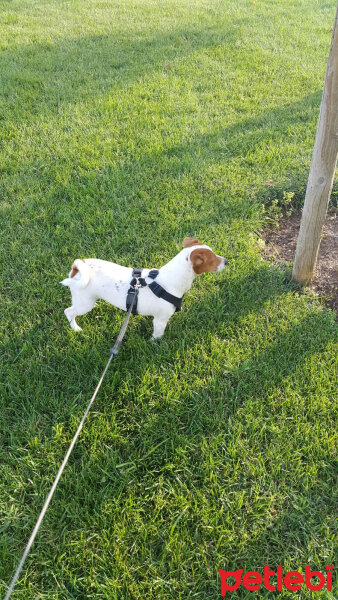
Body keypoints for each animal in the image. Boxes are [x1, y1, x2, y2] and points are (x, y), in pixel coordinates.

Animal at [62, 239, 228, 342]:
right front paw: (155, 344)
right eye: (212, 260)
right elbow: (157, 336)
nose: (226, 261)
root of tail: (77, 268)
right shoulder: (161, 320)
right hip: (84, 304)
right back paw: (75, 328)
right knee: (69, 311)